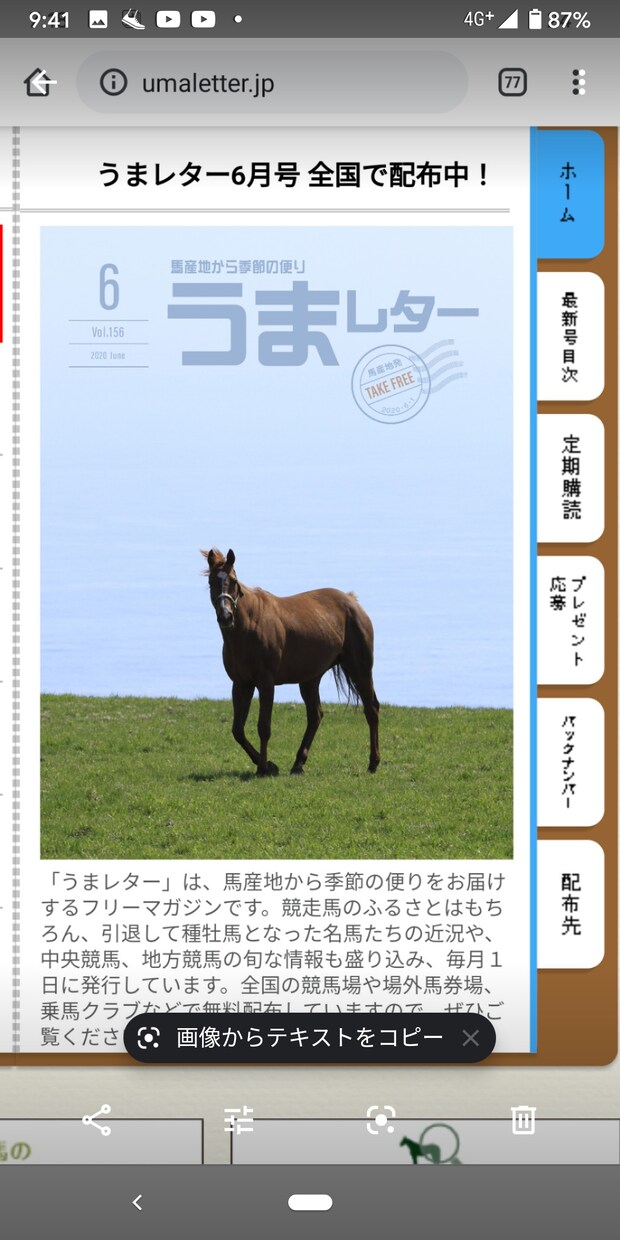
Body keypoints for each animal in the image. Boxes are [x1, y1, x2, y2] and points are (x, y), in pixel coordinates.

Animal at [201, 548, 380, 777]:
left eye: (233, 581)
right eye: (211, 581)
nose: (226, 616)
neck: (249, 626)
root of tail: (352, 601)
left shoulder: (266, 683)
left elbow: (264, 727)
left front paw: (263, 768)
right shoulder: (241, 684)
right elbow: (237, 730)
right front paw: (268, 765)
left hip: (360, 670)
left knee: (371, 710)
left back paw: (373, 762)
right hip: (310, 679)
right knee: (315, 716)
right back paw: (298, 764)